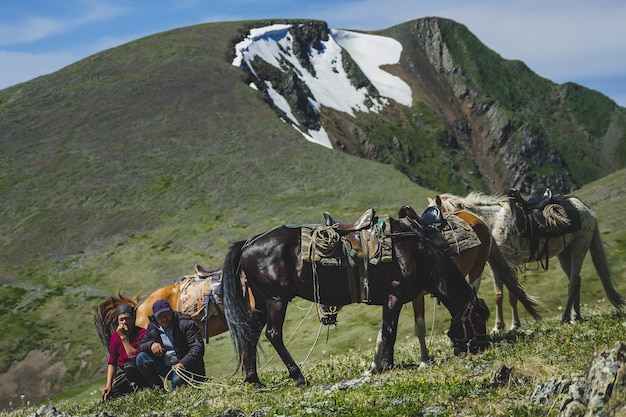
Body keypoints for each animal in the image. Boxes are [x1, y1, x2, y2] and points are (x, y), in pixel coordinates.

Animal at [222, 214, 490, 386]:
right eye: (479, 318)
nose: (484, 346)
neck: (416, 253)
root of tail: (248, 244)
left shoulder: (391, 300)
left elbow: (385, 331)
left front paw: (382, 365)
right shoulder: (394, 296)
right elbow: (390, 331)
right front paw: (386, 366)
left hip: (261, 301)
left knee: (251, 333)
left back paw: (254, 380)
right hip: (276, 299)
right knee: (273, 334)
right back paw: (297, 376)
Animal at [428, 190, 624, 330]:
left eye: (436, 217)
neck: (493, 223)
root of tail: (584, 208)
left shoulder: (511, 263)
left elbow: (513, 296)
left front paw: (515, 325)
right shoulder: (494, 266)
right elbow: (498, 295)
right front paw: (498, 327)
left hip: (579, 248)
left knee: (573, 281)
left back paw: (566, 317)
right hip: (564, 253)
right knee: (576, 280)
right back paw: (577, 316)